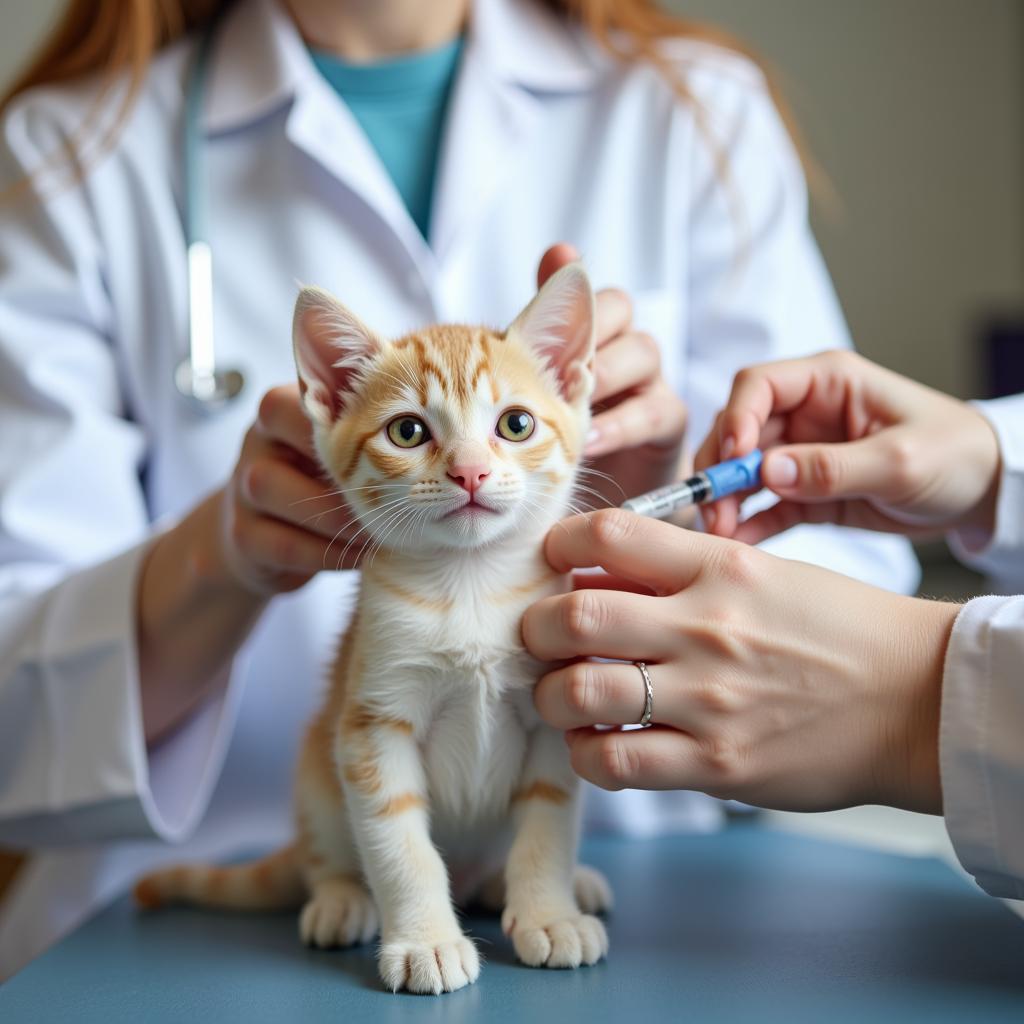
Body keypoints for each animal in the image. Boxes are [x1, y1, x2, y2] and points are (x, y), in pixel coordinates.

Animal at [132, 262, 610, 991]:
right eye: (408, 432)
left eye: (517, 423)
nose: (470, 471)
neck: (470, 587)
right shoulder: (371, 724)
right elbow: (399, 842)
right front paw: (425, 942)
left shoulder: (551, 716)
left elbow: (547, 825)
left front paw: (549, 914)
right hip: (316, 771)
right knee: (324, 858)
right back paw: (340, 900)